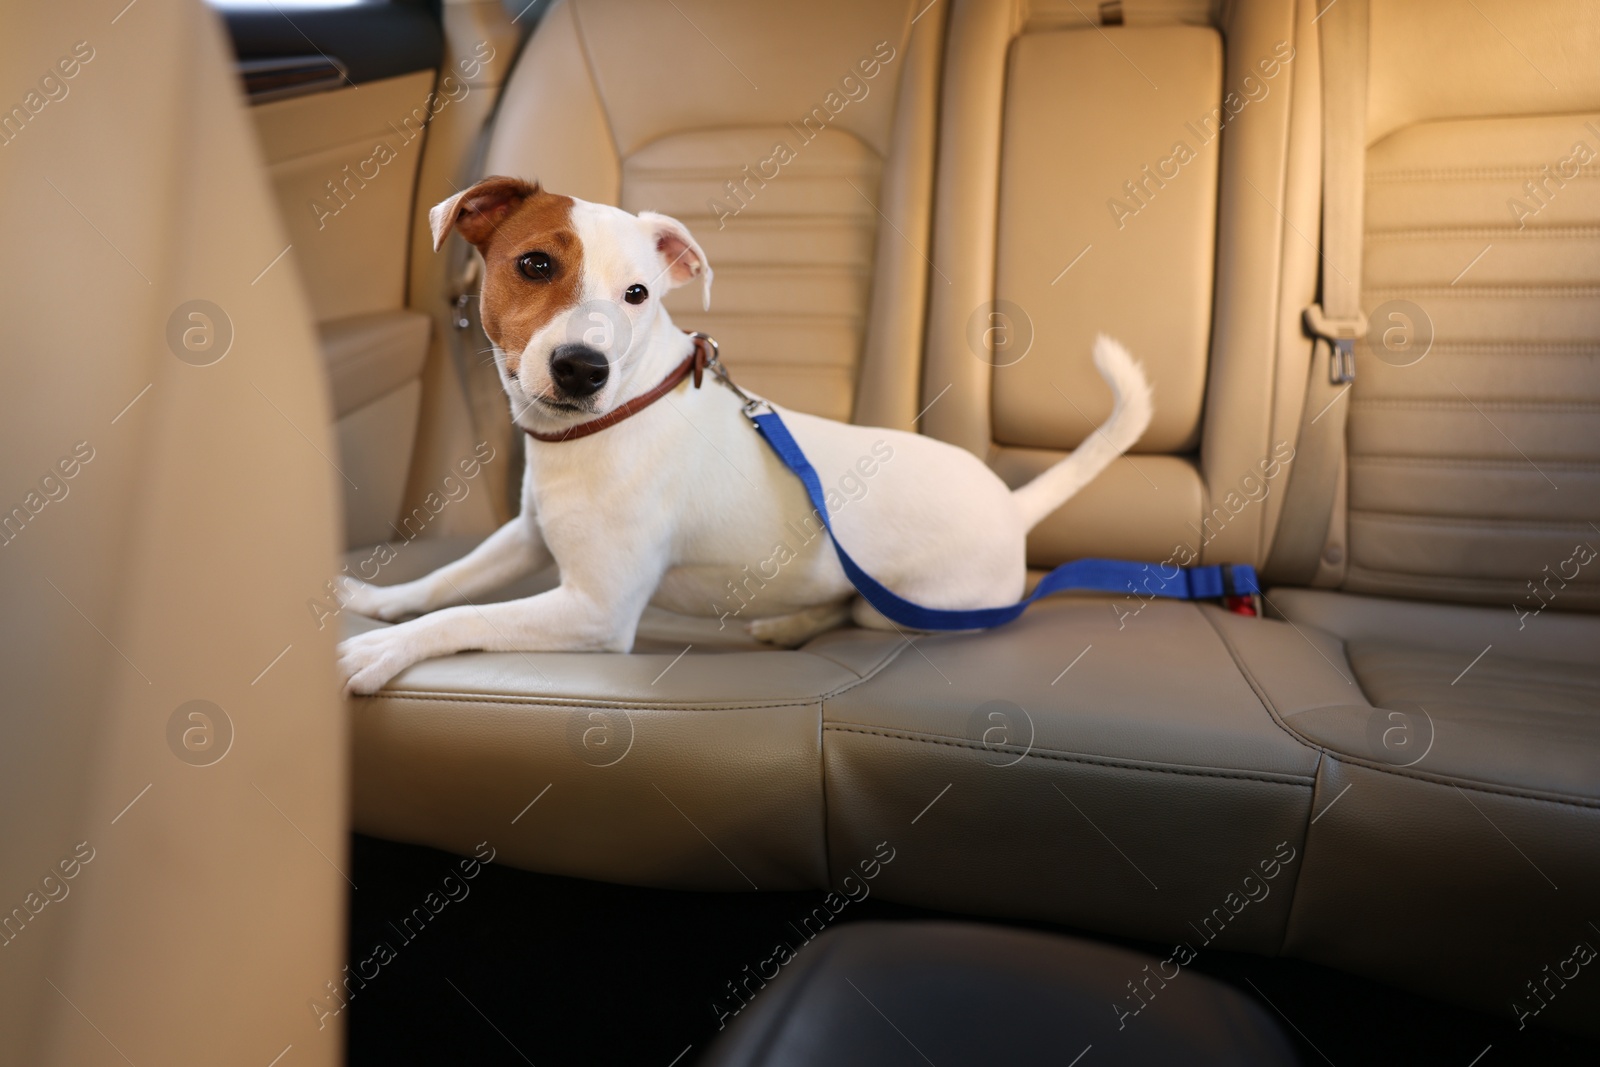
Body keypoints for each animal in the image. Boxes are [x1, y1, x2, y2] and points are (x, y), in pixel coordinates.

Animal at [334, 179, 1152, 697]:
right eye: (535, 264)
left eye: (638, 294)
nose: (582, 369)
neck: (612, 417)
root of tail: (1013, 507)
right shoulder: (528, 536)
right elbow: (448, 581)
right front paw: (379, 601)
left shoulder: (596, 611)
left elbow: (465, 615)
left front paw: (384, 648)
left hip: (913, 604)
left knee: (859, 608)